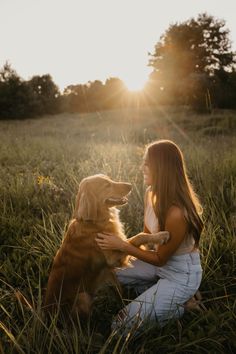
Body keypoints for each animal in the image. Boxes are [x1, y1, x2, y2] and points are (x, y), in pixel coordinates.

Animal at [43, 174, 170, 318]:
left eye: (110, 180)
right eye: (107, 185)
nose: (130, 185)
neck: (94, 221)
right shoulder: (113, 259)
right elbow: (139, 236)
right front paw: (161, 235)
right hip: (82, 297)